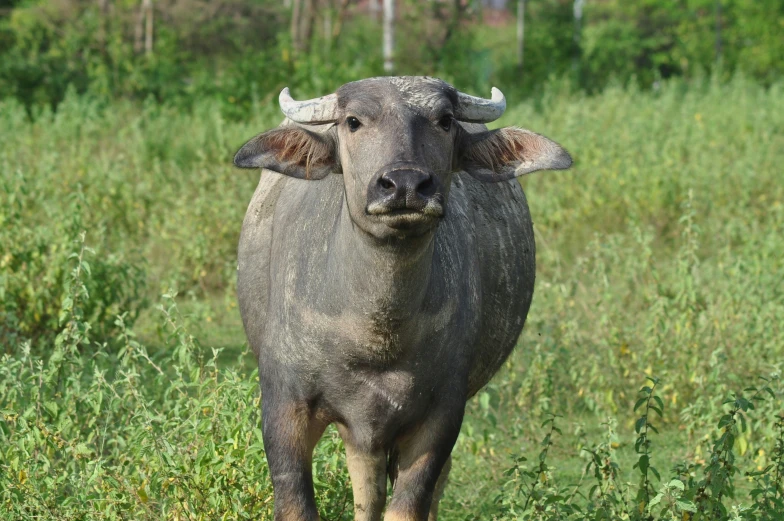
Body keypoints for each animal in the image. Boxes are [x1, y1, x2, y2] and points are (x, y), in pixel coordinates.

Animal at [233, 76, 568, 520]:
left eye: (445, 120)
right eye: (353, 121)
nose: (406, 184)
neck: (376, 332)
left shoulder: (442, 414)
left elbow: (409, 505)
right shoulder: (283, 406)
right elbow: (297, 505)